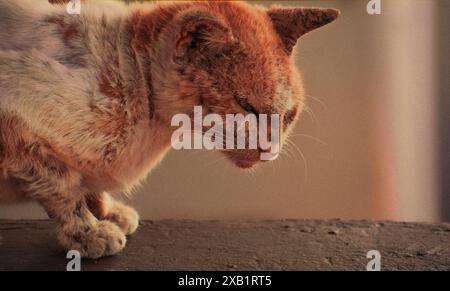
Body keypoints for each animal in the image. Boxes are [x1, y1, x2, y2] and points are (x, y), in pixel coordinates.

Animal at [0, 0, 338, 260]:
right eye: (247, 107)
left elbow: (88, 184)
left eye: (288, 116)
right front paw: (91, 233)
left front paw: (108, 213)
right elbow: (64, 188)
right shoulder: (17, 129)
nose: (271, 150)